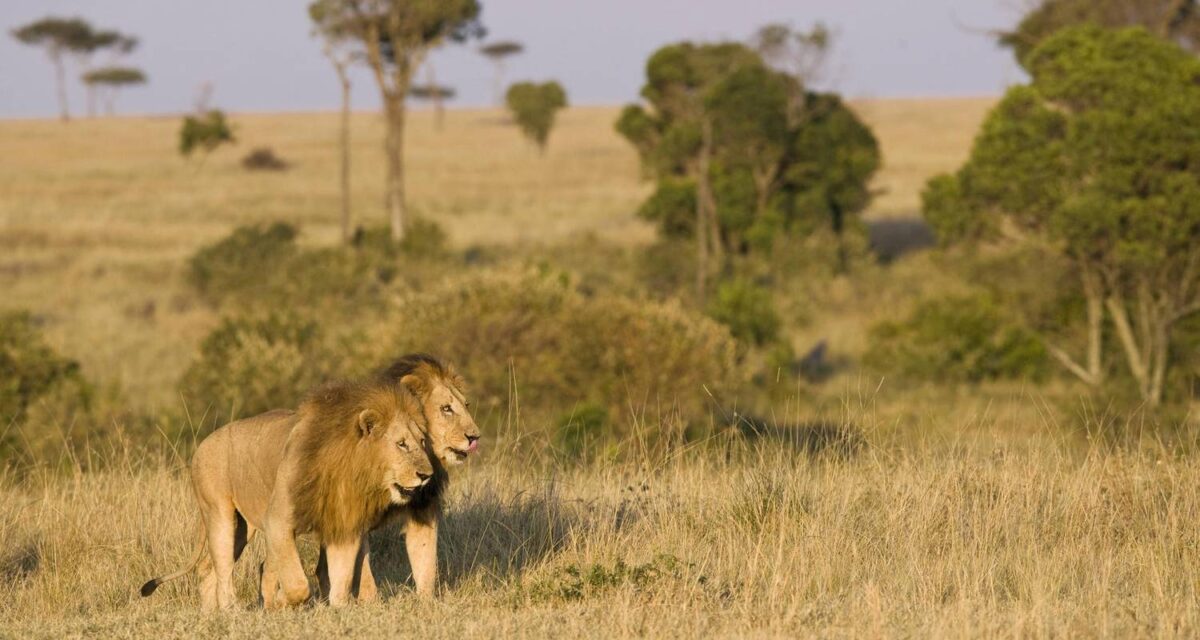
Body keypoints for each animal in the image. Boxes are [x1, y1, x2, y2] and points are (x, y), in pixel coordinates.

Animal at [139, 379, 434, 609]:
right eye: (401, 444)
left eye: (422, 442)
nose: (428, 474)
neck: (350, 470)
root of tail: (203, 442)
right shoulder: (278, 521)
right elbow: (297, 584)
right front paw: (281, 603)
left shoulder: (343, 524)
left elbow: (341, 580)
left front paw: (338, 609)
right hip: (220, 515)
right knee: (222, 570)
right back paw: (232, 610)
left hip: (242, 529)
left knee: (208, 570)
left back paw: (212, 614)